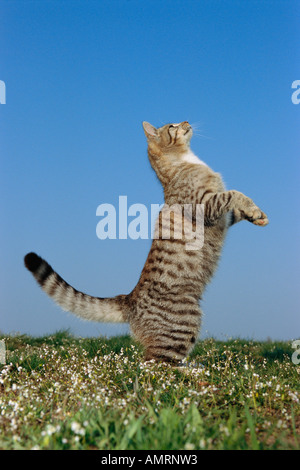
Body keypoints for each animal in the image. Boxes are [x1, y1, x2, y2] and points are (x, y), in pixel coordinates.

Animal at [24, 119, 268, 366]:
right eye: (172, 126)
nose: (186, 121)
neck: (186, 160)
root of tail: (129, 299)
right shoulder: (205, 205)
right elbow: (234, 194)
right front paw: (252, 208)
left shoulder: (223, 217)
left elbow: (236, 208)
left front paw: (257, 216)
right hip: (185, 322)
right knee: (154, 364)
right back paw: (193, 370)